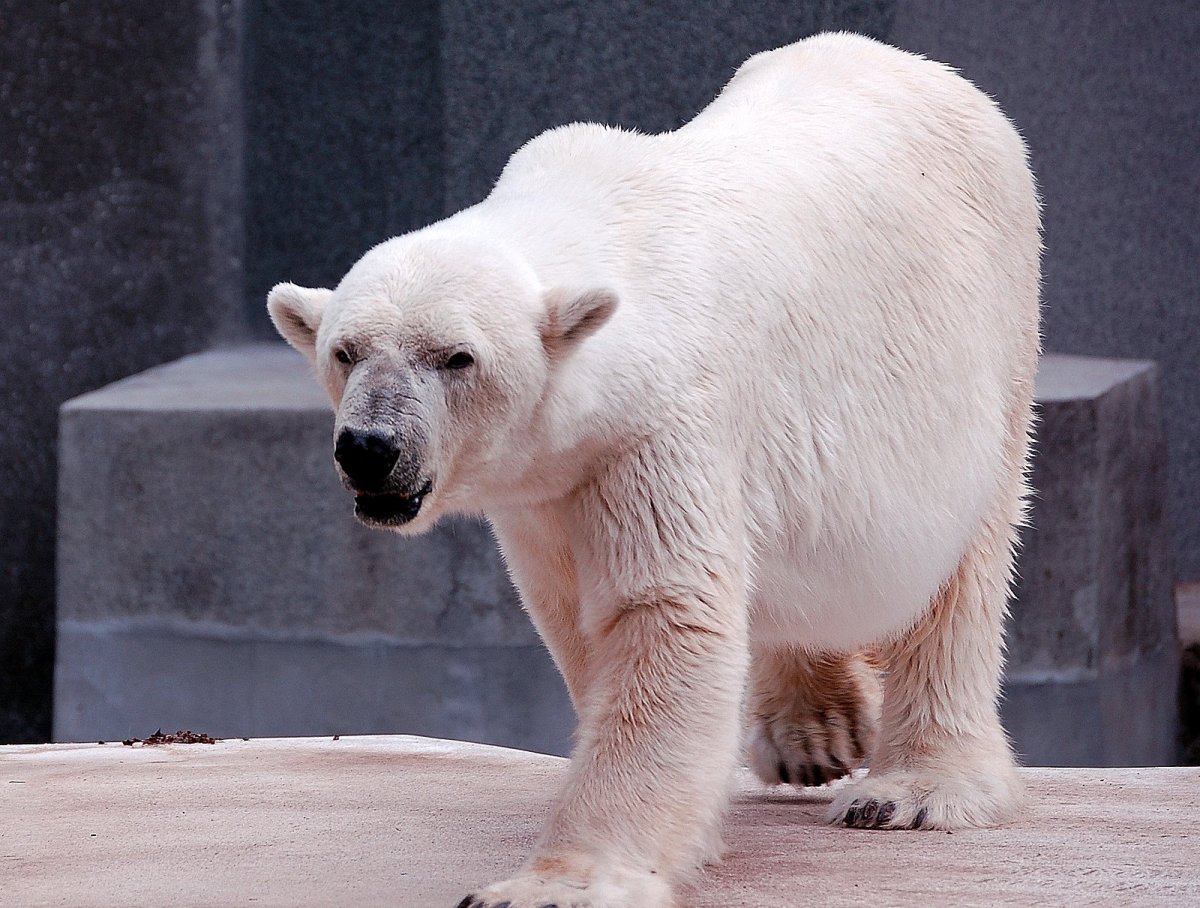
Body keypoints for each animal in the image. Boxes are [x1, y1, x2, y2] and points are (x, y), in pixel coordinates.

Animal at [268, 31, 1041, 908]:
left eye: (457, 357)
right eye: (345, 351)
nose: (369, 446)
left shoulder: (657, 428)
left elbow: (662, 616)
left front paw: (555, 884)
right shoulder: (551, 485)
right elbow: (582, 616)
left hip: (988, 349)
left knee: (961, 574)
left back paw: (912, 788)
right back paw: (815, 730)